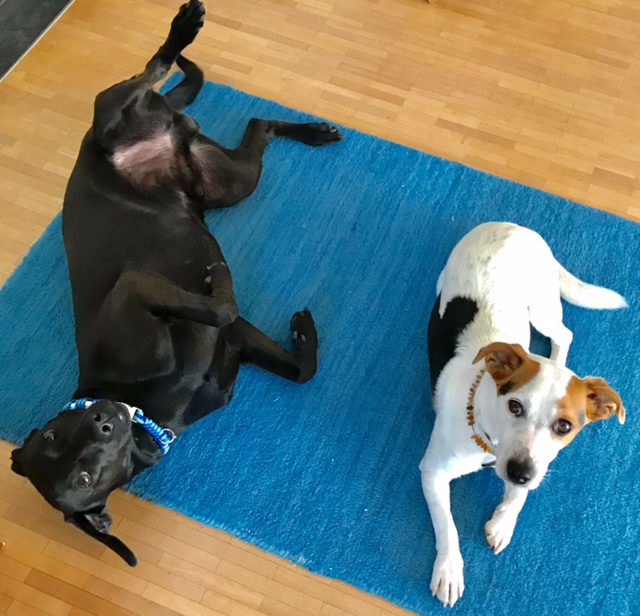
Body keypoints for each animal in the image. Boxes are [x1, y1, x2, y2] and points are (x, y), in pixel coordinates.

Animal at [9, 0, 342, 566]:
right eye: (81, 477)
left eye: (54, 431)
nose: (104, 420)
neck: (146, 412)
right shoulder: (232, 339)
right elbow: (267, 343)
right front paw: (277, 316)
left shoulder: (134, 291)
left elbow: (245, 327)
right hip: (229, 178)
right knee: (252, 125)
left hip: (123, 121)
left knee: (154, 73)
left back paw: (185, 30)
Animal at [421, 222, 626, 607]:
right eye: (514, 406)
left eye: (564, 426)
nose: (518, 473)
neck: (487, 440)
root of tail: (513, 227)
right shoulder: (433, 471)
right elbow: (447, 525)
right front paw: (450, 569)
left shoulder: (536, 464)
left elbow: (522, 494)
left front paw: (504, 519)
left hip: (541, 307)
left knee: (564, 334)